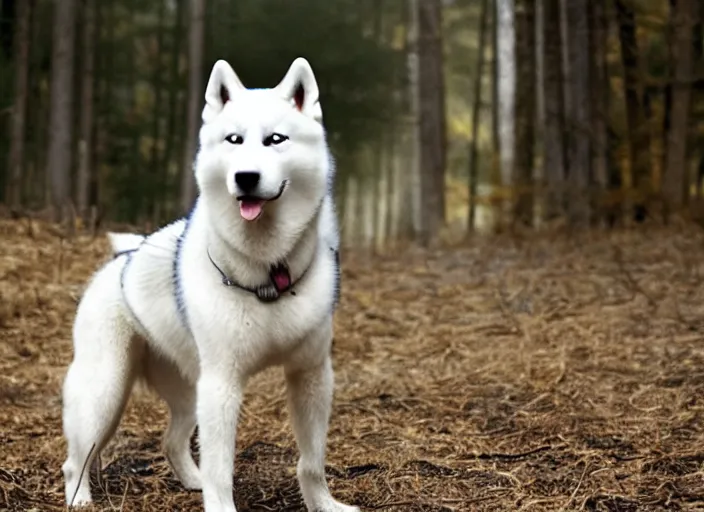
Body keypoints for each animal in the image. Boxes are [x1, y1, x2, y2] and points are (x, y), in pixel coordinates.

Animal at [59, 57, 358, 512]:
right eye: (233, 139)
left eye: (275, 140)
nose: (246, 177)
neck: (268, 273)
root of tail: (122, 260)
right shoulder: (222, 386)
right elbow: (222, 469)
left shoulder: (311, 376)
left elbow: (311, 462)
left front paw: (324, 504)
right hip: (105, 394)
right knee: (76, 459)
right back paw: (80, 498)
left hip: (187, 393)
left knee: (170, 442)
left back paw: (191, 480)